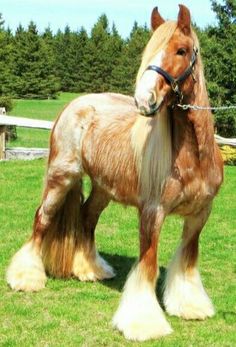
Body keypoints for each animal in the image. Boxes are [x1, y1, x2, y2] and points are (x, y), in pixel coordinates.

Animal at [5, 4, 223, 342]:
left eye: (181, 50)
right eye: (150, 51)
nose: (144, 100)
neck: (192, 157)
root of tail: (73, 105)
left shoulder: (200, 215)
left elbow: (188, 260)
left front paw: (190, 306)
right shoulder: (152, 213)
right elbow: (147, 266)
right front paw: (144, 322)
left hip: (102, 189)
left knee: (86, 219)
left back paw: (89, 270)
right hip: (60, 178)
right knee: (42, 219)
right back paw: (26, 277)